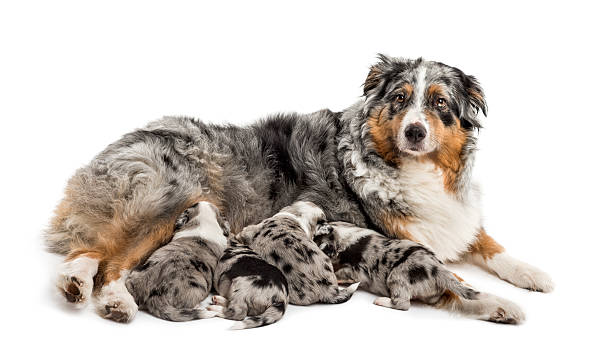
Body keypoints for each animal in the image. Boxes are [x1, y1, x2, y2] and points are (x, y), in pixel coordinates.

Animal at [316, 221, 524, 324]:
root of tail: (439, 271)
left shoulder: (356, 271)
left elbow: (341, 274)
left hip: (396, 277)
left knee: (403, 304)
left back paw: (381, 300)